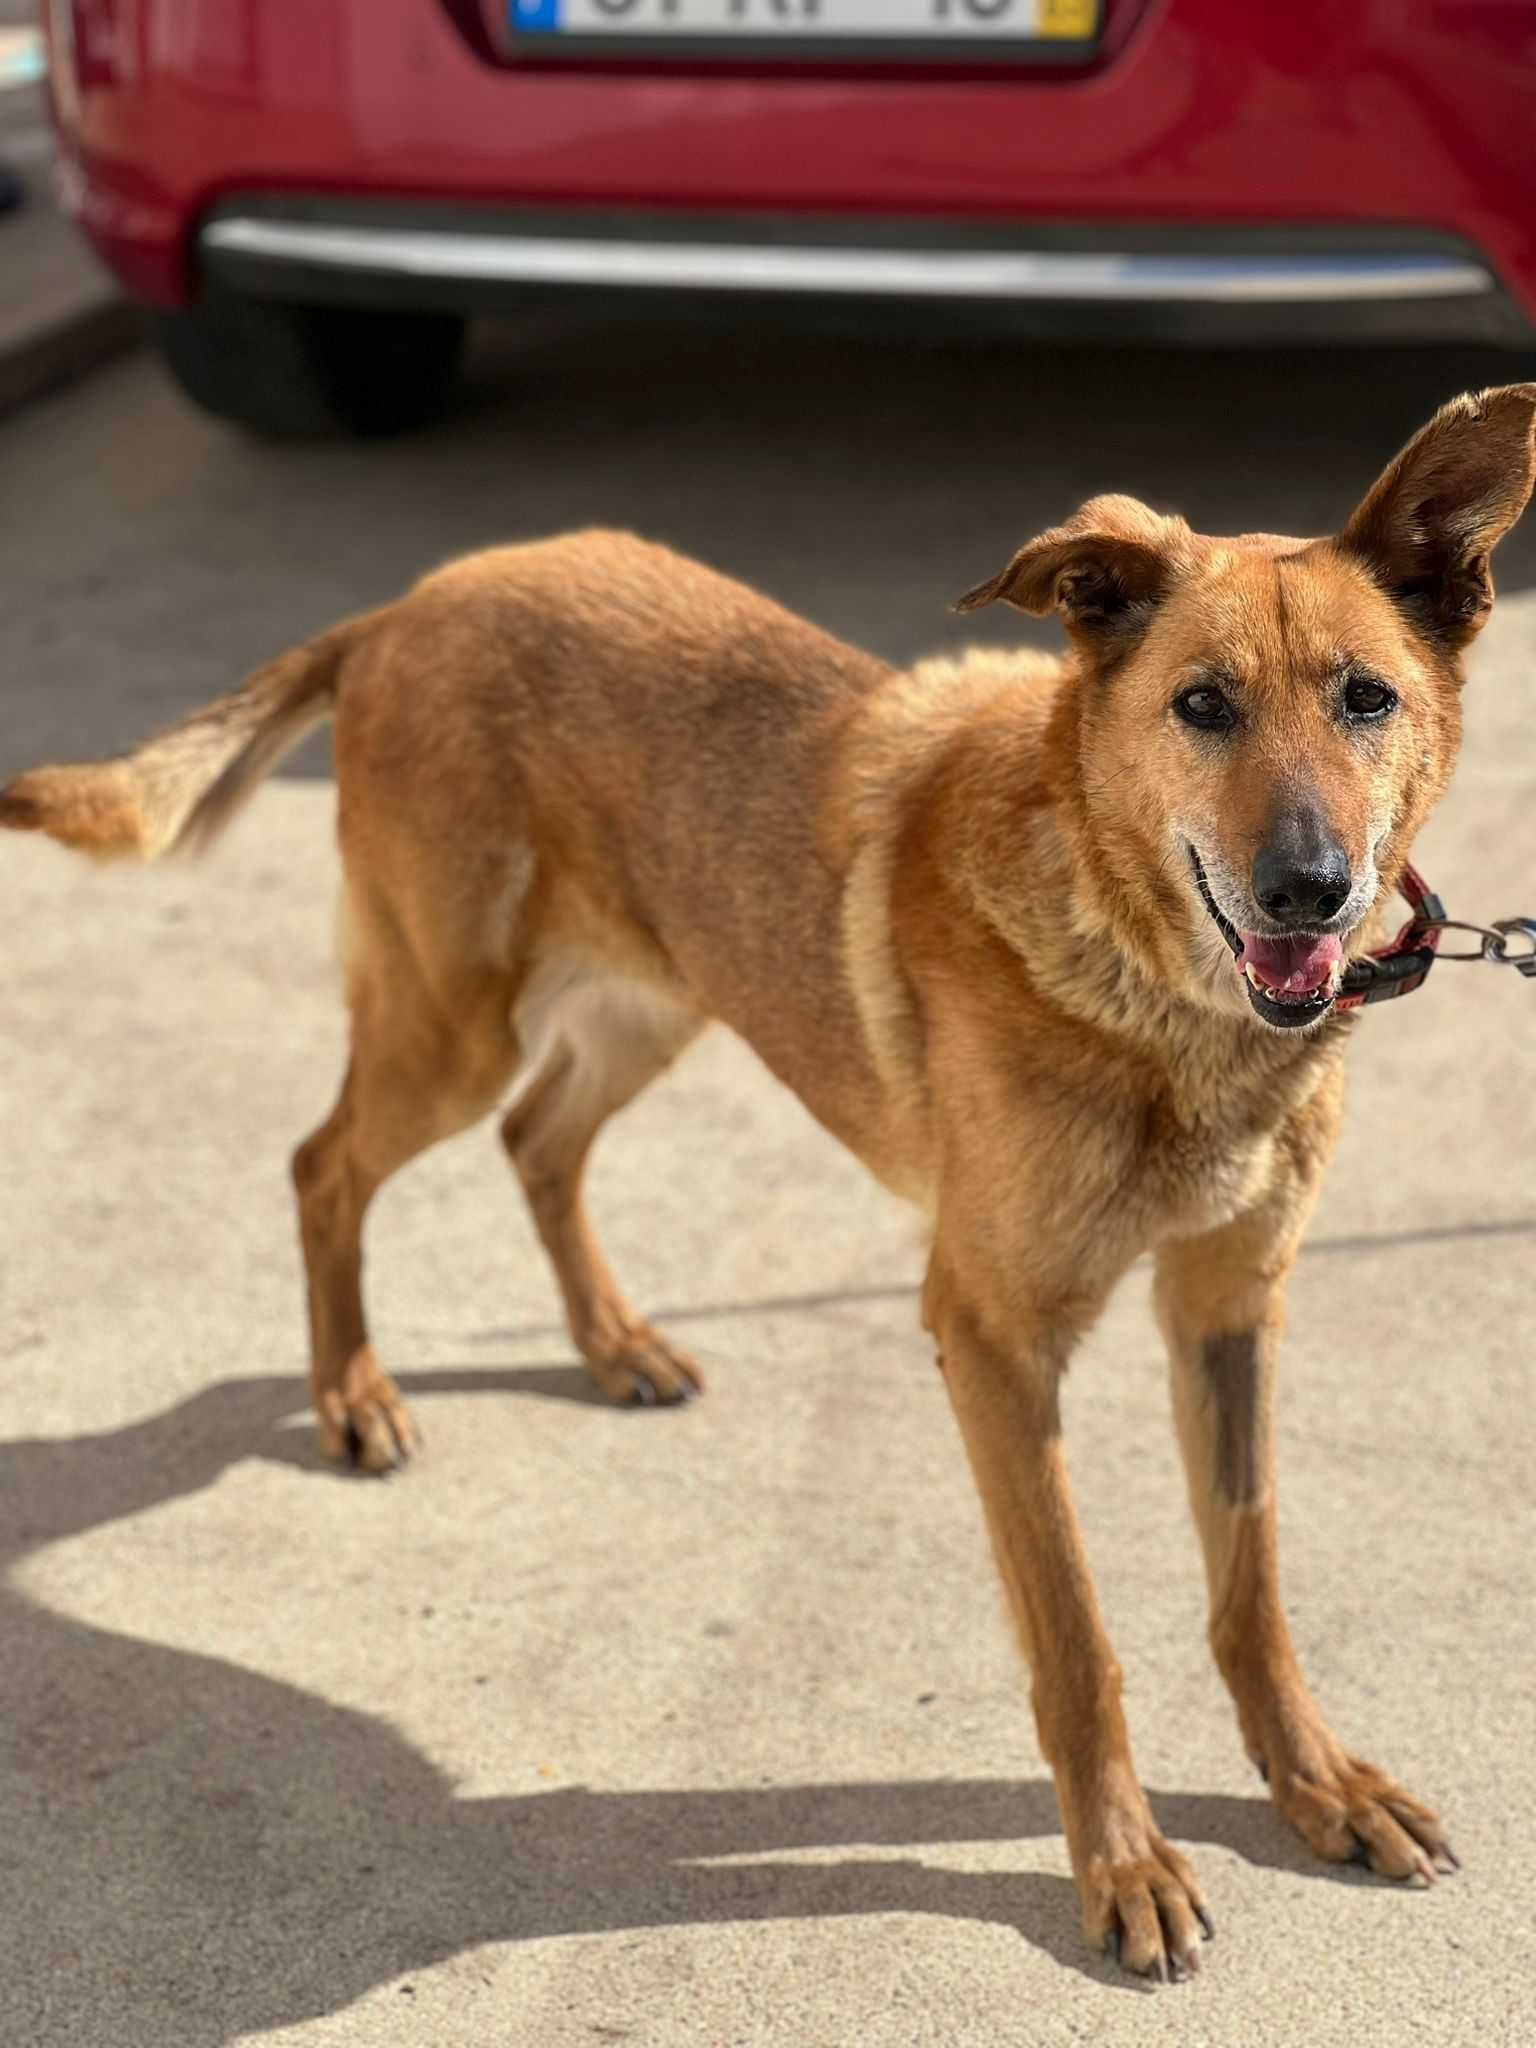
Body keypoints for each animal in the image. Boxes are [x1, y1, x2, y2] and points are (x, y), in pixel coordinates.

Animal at [6, 387, 1531, 1982]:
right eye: (1203, 706)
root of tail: (405, 606)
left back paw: (611, 1341)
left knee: (539, 1141)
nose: (1312, 890)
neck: (1147, 976)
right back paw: (355, 1391)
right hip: (455, 1025)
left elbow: (1254, 1588)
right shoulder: (994, 1339)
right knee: (326, 1164)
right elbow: (1078, 1641)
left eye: (1367, 699)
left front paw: (1316, 1782)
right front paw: (1122, 1861)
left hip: (659, 995)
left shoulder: (1229, 1308)